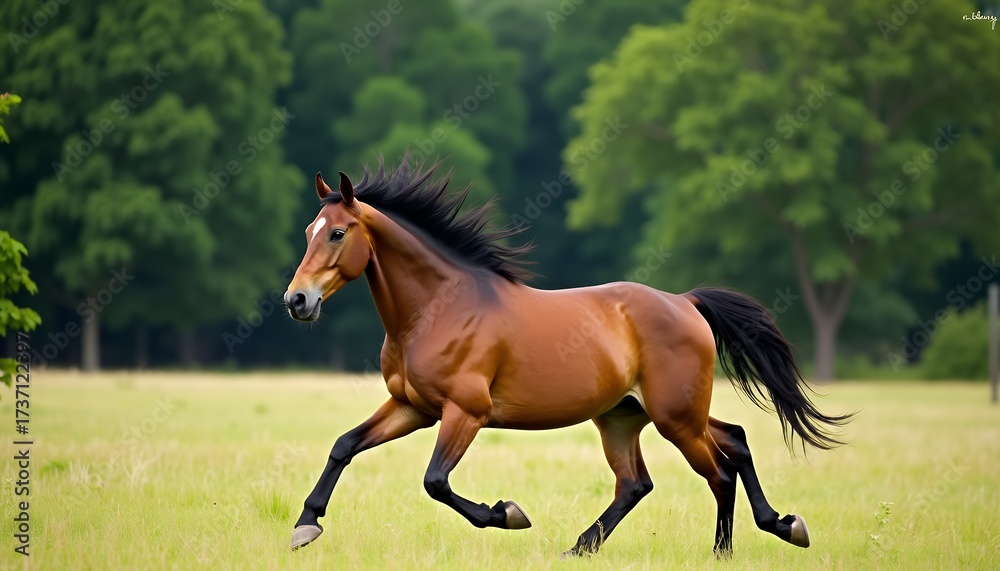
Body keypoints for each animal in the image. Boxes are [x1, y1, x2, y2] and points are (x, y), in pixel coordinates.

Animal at [282, 161, 851, 558]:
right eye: (308, 231)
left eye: (337, 233)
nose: (297, 301)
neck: (438, 309)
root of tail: (685, 302)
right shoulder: (412, 408)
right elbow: (344, 445)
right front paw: (306, 525)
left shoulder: (464, 413)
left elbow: (435, 482)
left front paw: (508, 513)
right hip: (630, 416)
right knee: (674, 467)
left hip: (675, 417)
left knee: (720, 471)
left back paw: (729, 548)